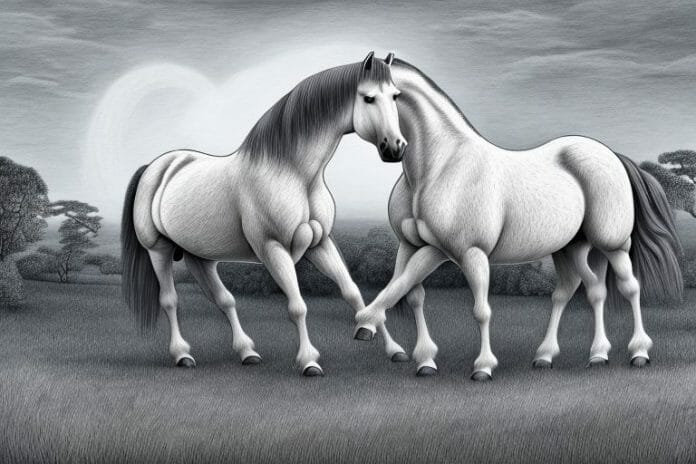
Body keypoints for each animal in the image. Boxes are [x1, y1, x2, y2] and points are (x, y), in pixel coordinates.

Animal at [121, 52, 410, 376]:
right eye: (368, 98)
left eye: (396, 95)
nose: (395, 148)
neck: (293, 173)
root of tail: (156, 167)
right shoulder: (273, 248)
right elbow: (298, 306)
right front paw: (309, 361)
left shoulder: (320, 244)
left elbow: (352, 292)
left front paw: (392, 347)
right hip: (158, 250)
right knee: (170, 301)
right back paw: (183, 355)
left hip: (200, 256)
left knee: (223, 300)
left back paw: (248, 352)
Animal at [353, 58, 682, 380]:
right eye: (367, 97)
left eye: (394, 96)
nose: (393, 148)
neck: (440, 166)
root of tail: (612, 155)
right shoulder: (414, 246)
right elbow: (407, 290)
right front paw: (417, 356)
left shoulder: (467, 252)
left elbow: (480, 310)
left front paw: (483, 367)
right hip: (574, 248)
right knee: (583, 291)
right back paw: (577, 355)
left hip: (613, 245)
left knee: (630, 288)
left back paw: (638, 353)